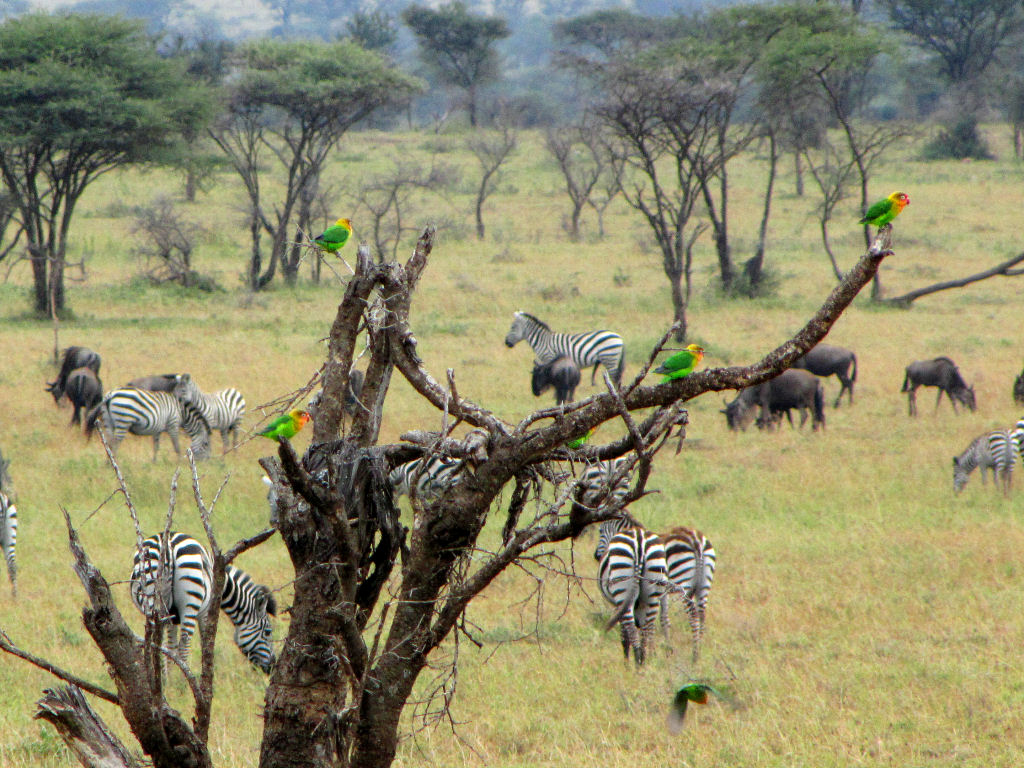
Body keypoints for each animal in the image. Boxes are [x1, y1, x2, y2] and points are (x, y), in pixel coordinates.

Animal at [130, 532, 214, 671]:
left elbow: (170, 646)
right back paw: (181, 676)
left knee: (157, 640)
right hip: (189, 602)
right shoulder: (205, 613)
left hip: (153, 597)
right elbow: (205, 642)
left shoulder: (171, 617)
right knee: (184, 642)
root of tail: (168, 544)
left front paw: (170, 671)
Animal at [598, 524, 667, 667]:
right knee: (647, 629)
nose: (596, 556)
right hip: (653, 592)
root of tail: (639, 539)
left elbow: (624, 635)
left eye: (600, 531)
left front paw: (626, 662)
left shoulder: (618, 606)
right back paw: (643, 662)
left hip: (622, 588)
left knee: (631, 628)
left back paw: (636, 662)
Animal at [659, 528, 716, 663]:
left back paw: (694, 655)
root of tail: (696, 540)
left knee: (693, 615)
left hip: (683, 583)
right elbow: (664, 617)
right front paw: (667, 647)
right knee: (702, 615)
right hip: (704, 586)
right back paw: (699, 647)